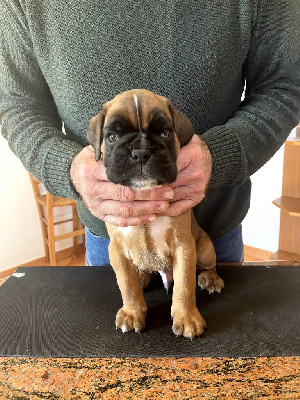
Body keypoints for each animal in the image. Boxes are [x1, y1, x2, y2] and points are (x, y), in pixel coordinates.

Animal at [86, 89, 223, 340]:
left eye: (165, 132)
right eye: (112, 137)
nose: (141, 152)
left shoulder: (184, 246)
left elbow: (184, 284)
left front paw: (187, 317)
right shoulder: (117, 249)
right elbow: (126, 284)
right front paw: (132, 312)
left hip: (205, 250)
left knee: (207, 265)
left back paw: (210, 278)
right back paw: (142, 276)